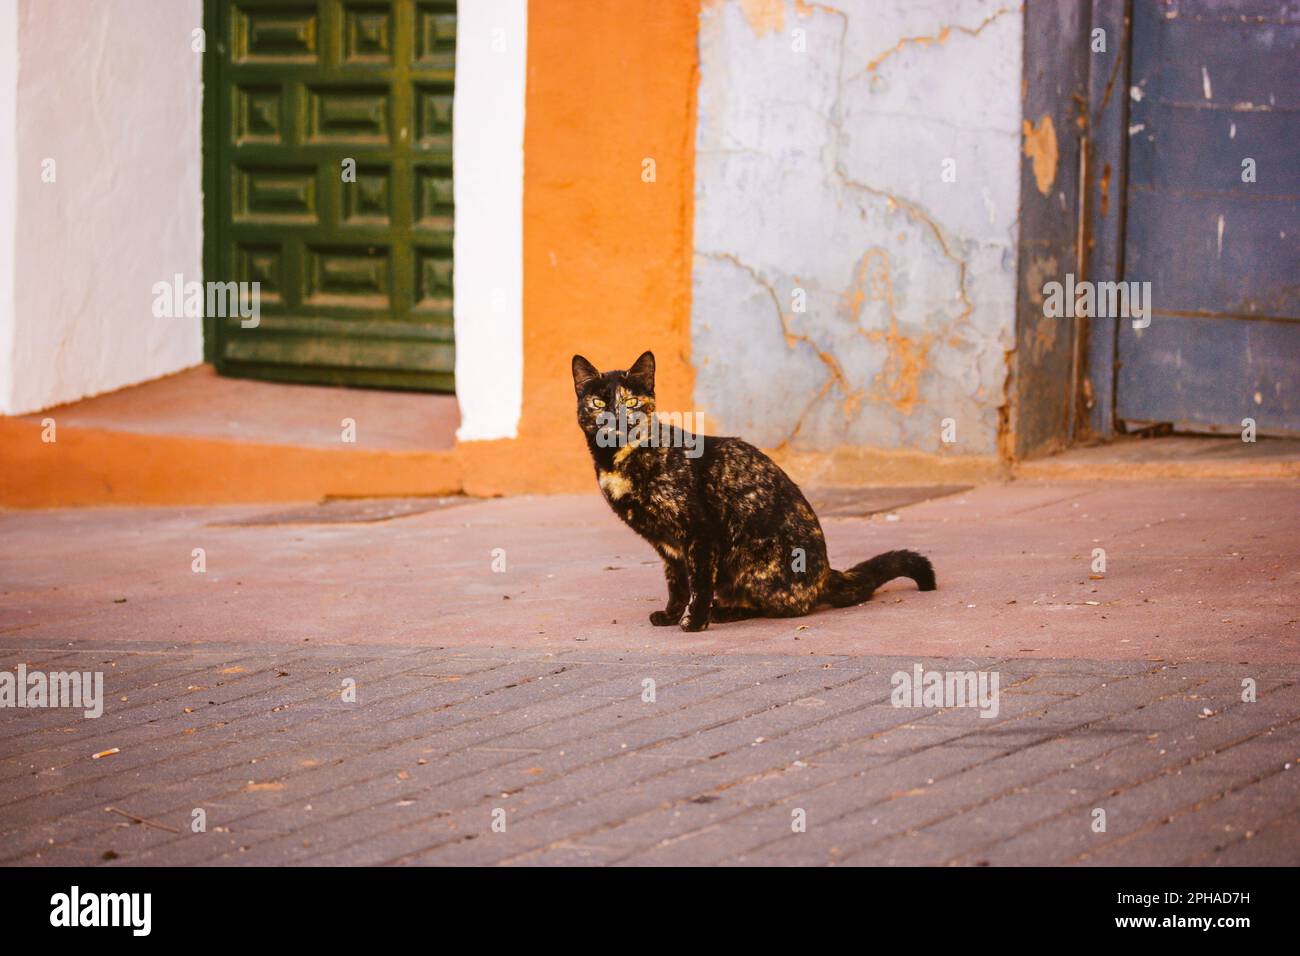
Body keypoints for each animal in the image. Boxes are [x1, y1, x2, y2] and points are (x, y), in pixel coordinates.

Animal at [572, 351, 935, 634]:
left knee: (785, 607)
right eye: (599, 402)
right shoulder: (667, 546)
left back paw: (722, 611)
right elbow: (677, 582)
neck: (619, 460)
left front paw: (695, 621)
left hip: (753, 559)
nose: (615, 418)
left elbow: (698, 581)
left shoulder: (700, 531)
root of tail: (827, 574)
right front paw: (672, 613)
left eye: (631, 402)